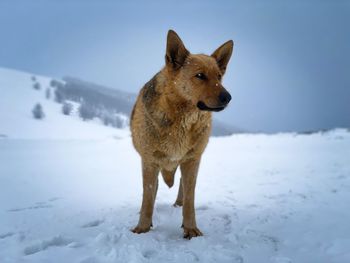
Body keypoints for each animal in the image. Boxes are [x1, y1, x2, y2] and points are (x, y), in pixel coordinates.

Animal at [130, 29, 234, 240]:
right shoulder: (149, 161)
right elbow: (148, 197)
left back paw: (178, 203)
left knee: (181, 186)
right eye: (200, 76)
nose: (228, 97)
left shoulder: (192, 160)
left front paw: (191, 229)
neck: (181, 120)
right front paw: (142, 228)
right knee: (153, 190)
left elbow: (189, 198)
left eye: (219, 76)